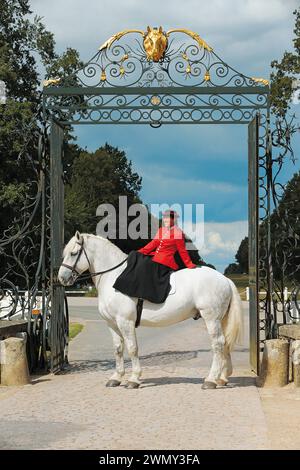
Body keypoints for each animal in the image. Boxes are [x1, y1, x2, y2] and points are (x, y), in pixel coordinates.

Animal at [58, 231, 244, 390]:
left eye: (73, 253)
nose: (62, 278)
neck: (114, 277)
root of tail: (224, 279)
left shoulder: (125, 322)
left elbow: (132, 348)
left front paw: (134, 379)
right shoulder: (111, 323)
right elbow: (118, 349)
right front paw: (116, 378)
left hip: (211, 318)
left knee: (218, 343)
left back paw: (211, 380)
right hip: (219, 319)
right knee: (224, 343)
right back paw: (222, 378)